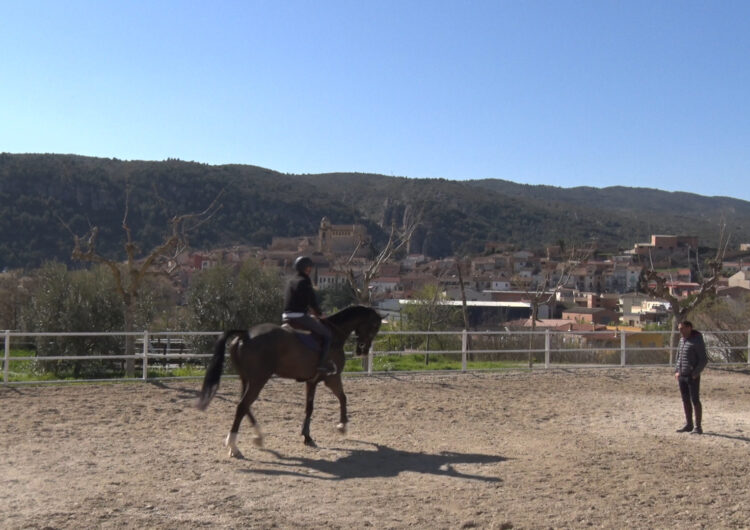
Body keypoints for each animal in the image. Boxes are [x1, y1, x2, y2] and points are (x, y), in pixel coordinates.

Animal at [195, 304, 382, 456]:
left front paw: (307, 437)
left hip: (246, 379)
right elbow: (343, 398)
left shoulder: (311, 382)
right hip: (258, 379)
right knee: (242, 406)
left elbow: (309, 408)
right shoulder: (332, 378)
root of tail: (245, 334)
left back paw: (258, 436)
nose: (363, 350)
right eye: (374, 326)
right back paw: (234, 446)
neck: (334, 334)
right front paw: (342, 426)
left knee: (244, 406)